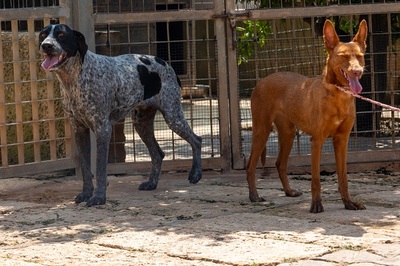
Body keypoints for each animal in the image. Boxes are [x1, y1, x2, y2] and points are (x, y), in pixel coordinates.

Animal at [38, 24, 202, 206]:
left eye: (61, 34)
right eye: (43, 35)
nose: (46, 45)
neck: (74, 79)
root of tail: (165, 63)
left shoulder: (103, 129)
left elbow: (100, 168)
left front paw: (99, 197)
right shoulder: (79, 130)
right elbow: (86, 169)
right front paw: (86, 194)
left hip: (173, 116)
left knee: (196, 140)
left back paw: (196, 174)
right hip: (141, 124)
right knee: (158, 154)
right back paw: (152, 183)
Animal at [247, 18, 368, 213]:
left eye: (360, 56)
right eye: (343, 56)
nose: (357, 71)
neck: (338, 95)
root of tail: (263, 80)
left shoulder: (342, 140)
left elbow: (343, 177)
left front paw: (348, 203)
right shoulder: (317, 141)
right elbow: (316, 179)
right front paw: (316, 204)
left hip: (287, 134)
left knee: (280, 164)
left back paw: (288, 192)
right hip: (262, 130)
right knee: (250, 164)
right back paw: (254, 196)